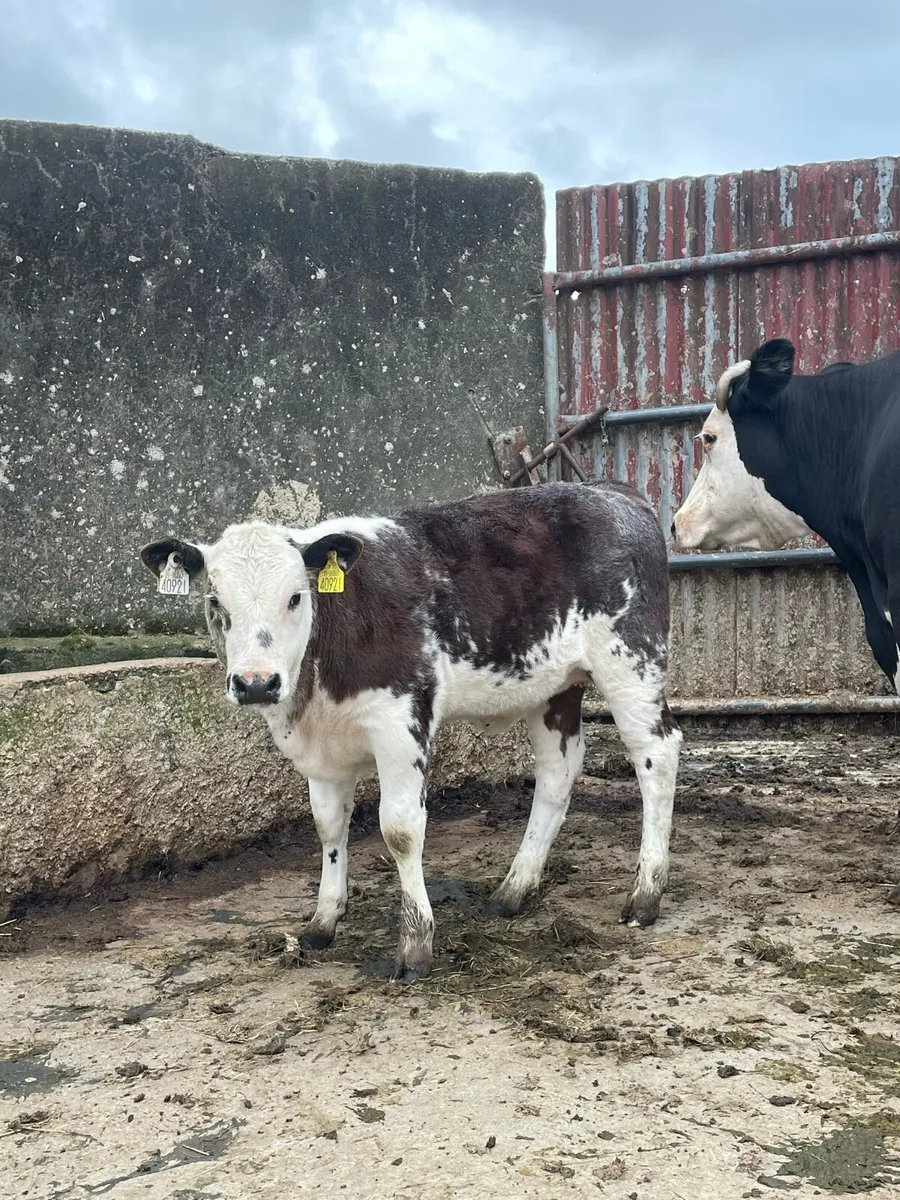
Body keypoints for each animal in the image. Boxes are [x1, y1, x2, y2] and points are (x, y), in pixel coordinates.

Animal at [141, 481, 682, 980]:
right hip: (554, 688)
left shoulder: (400, 722)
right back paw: (514, 890)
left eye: (295, 597)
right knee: (557, 771)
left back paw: (645, 895)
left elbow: (400, 829)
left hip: (631, 662)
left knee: (657, 753)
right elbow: (328, 825)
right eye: (215, 601)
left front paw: (416, 945)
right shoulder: (319, 748)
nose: (256, 683)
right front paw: (323, 921)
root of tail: (612, 490)